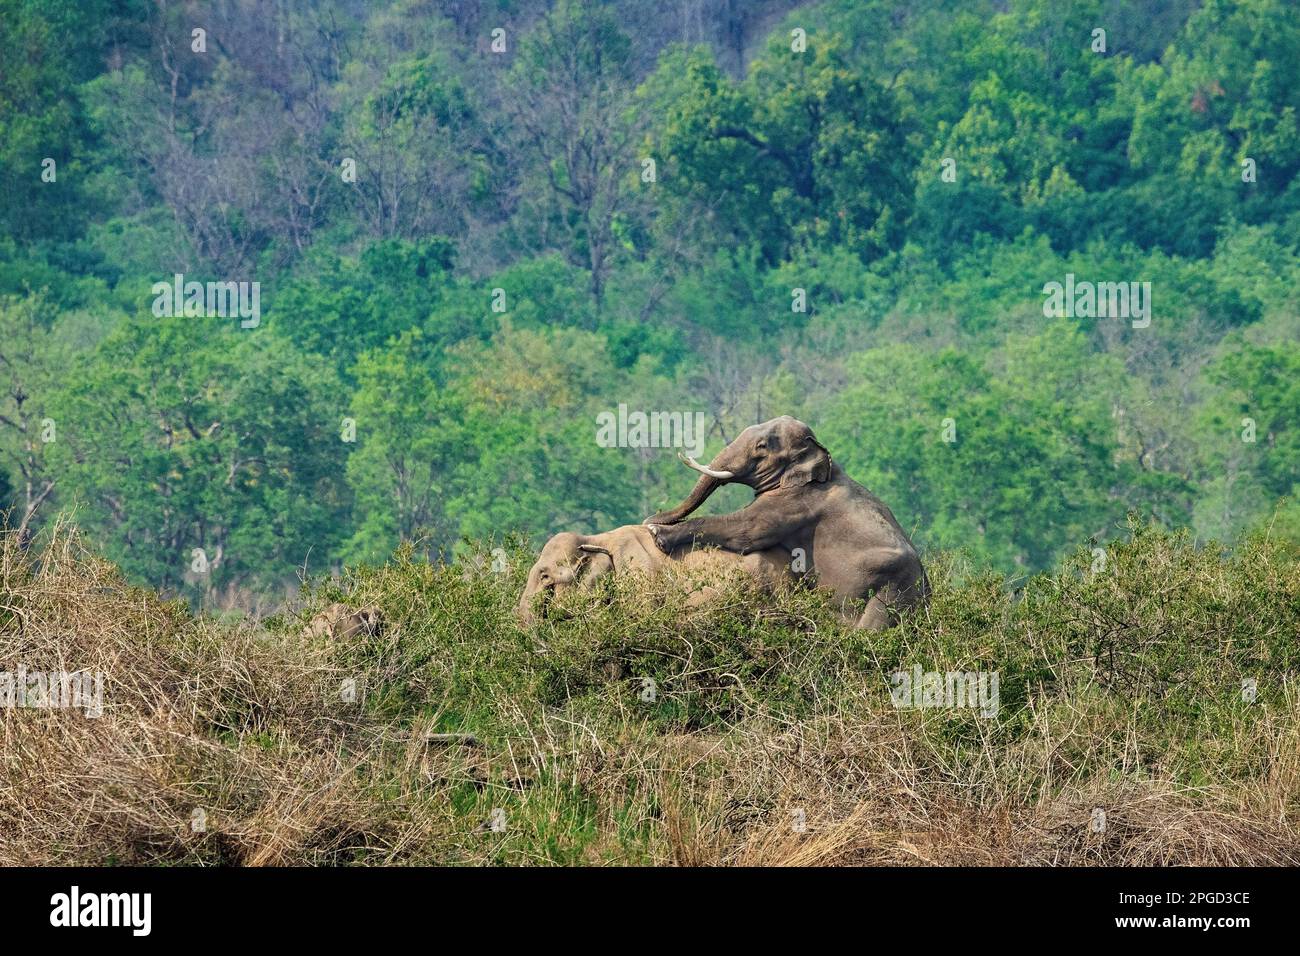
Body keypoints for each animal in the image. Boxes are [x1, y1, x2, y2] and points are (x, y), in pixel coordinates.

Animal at [644, 416, 930, 629]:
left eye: (762, 446)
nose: (650, 516)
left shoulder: (797, 502)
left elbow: (746, 531)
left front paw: (657, 533)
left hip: (893, 591)